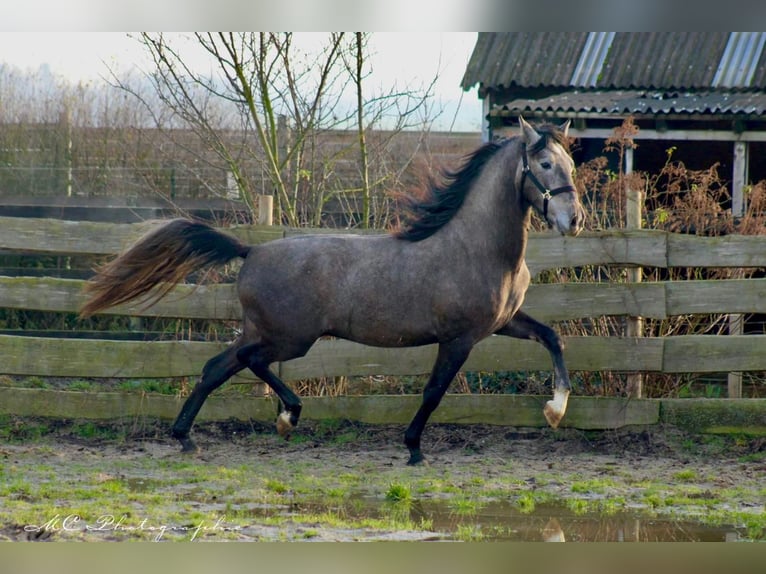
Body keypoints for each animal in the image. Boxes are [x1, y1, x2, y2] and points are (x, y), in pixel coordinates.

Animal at [81, 118, 584, 468]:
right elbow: (434, 391)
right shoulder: (459, 338)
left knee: (217, 366)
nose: (573, 220)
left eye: (571, 165)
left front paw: (555, 411)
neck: (477, 248)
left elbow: (554, 339)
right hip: (290, 338)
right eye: (544, 165)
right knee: (246, 361)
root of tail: (251, 250)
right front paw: (414, 448)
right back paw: (287, 416)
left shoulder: (504, 323)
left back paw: (187, 437)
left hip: (267, 332)